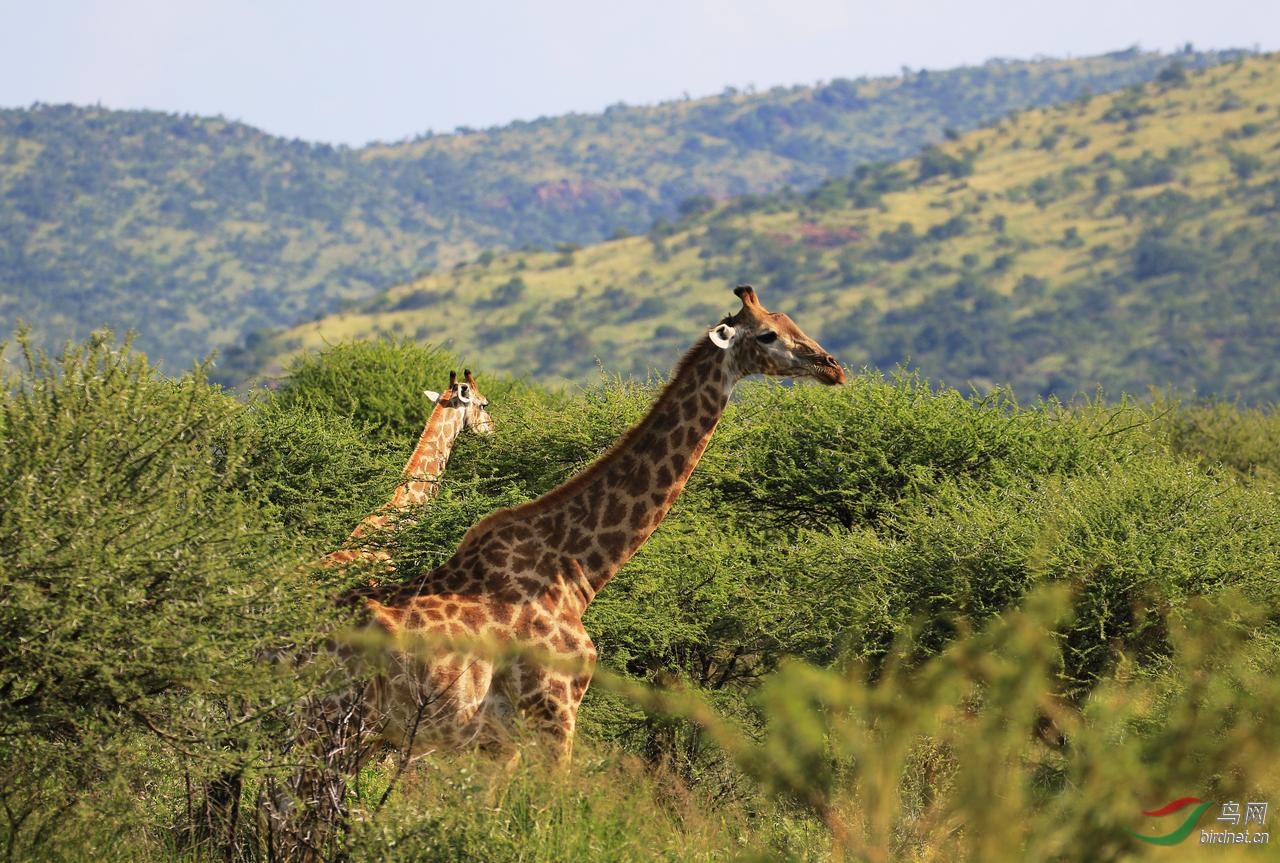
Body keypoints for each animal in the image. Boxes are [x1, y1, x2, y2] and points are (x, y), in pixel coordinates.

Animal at [337, 286, 849, 758]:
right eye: (767, 334)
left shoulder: (497, 740)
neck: (576, 567)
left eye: (791, 321)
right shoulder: (555, 708)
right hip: (346, 726)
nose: (832, 366)